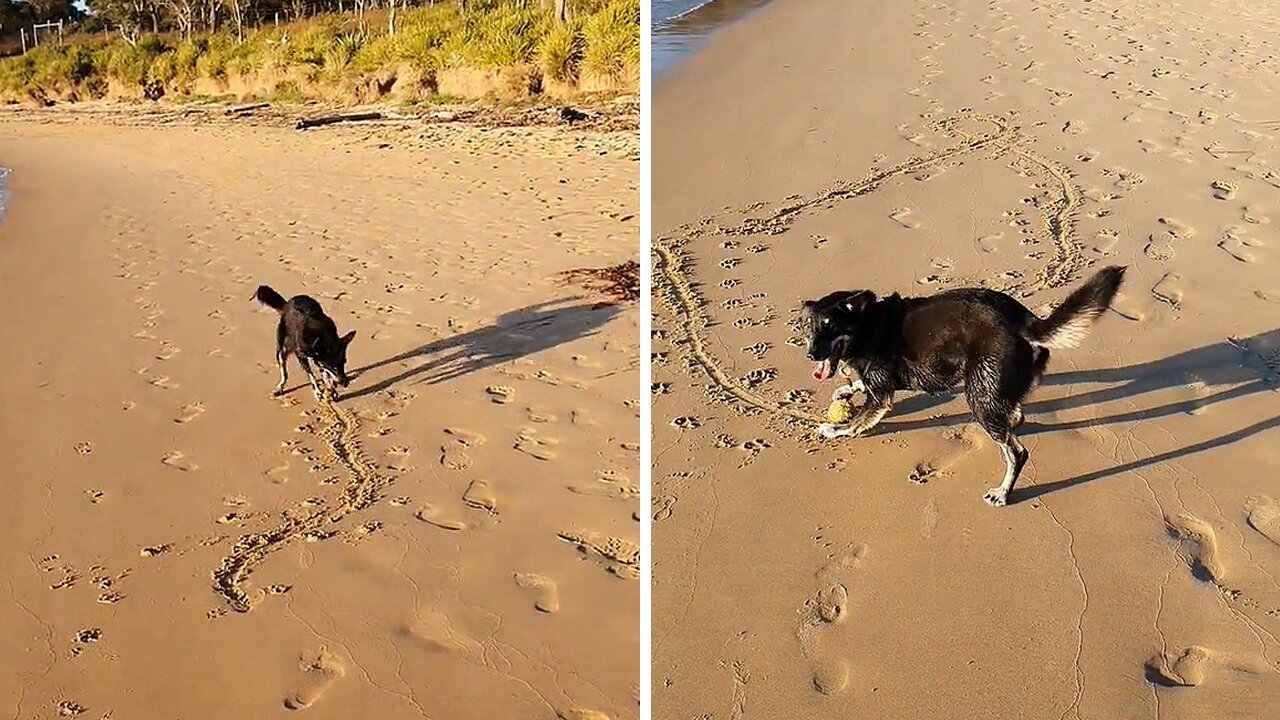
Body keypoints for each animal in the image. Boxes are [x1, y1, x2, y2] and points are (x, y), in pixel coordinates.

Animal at [803, 263, 1126, 504]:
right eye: (809, 327)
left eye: (830, 326)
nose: (811, 354)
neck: (868, 326)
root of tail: (1025, 321)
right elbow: (856, 387)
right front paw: (844, 391)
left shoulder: (880, 394)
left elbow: (857, 421)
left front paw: (835, 429)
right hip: (991, 390)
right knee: (1013, 416)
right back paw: (1015, 421)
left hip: (979, 395)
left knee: (1016, 453)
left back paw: (1003, 492)